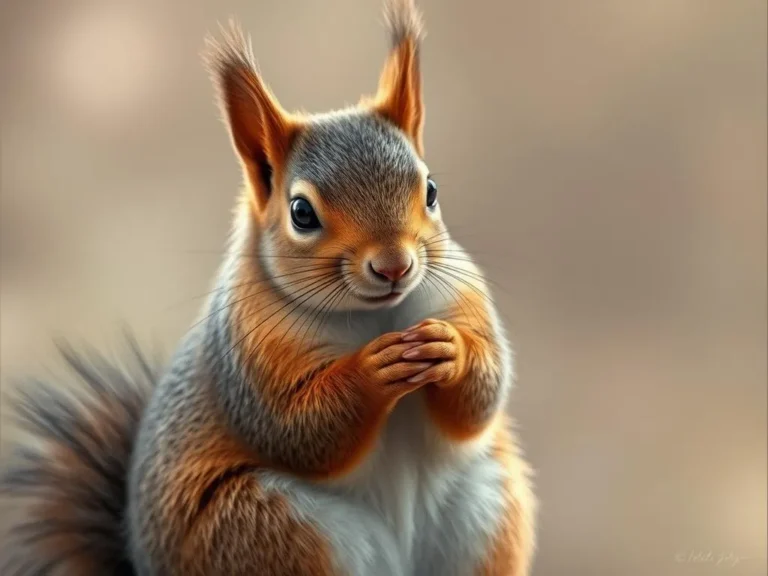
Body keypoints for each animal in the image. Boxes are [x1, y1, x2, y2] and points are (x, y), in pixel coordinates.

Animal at [1, 1, 536, 574]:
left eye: (431, 190)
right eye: (301, 212)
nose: (395, 266)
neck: (374, 316)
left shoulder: (460, 295)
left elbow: (480, 399)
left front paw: (450, 348)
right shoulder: (249, 350)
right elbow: (296, 429)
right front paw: (372, 370)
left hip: (485, 508)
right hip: (268, 528)